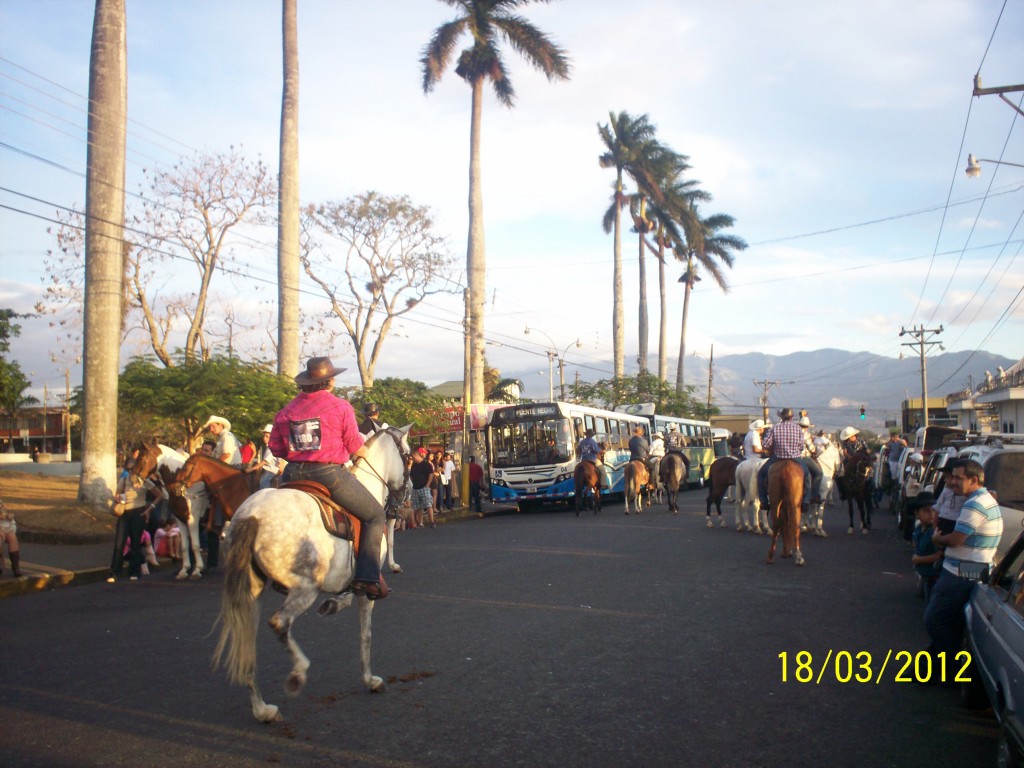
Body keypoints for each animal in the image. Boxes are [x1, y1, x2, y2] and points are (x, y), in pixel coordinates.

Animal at [212, 428, 411, 720]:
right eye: (407, 455)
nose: (406, 493)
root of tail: (251, 516)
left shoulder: (349, 580)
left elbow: (346, 598)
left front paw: (331, 605)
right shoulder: (368, 585)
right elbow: (365, 634)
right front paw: (370, 679)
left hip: (252, 591)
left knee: (248, 641)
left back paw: (262, 709)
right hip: (305, 588)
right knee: (280, 623)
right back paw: (297, 673)